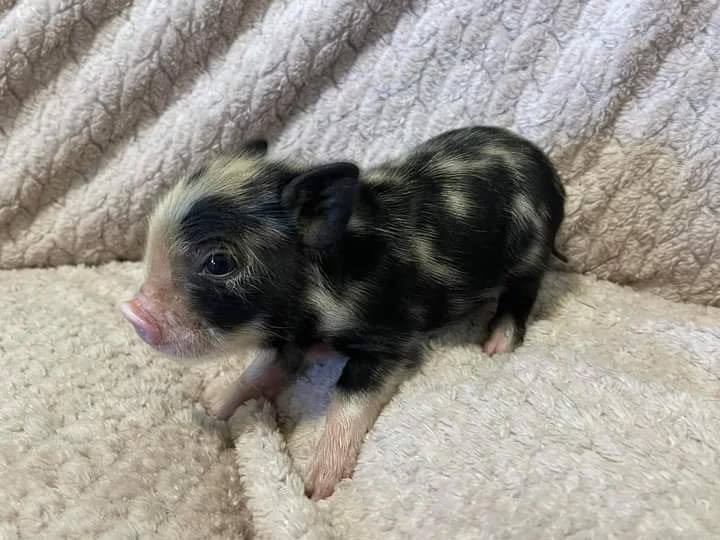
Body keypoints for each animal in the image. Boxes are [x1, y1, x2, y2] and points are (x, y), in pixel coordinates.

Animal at [120, 126, 566, 499]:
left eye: (218, 262)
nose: (133, 312)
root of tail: (546, 167)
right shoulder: (287, 339)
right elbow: (258, 373)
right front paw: (211, 404)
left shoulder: (391, 338)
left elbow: (349, 400)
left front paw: (317, 486)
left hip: (530, 256)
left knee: (522, 295)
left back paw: (495, 346)